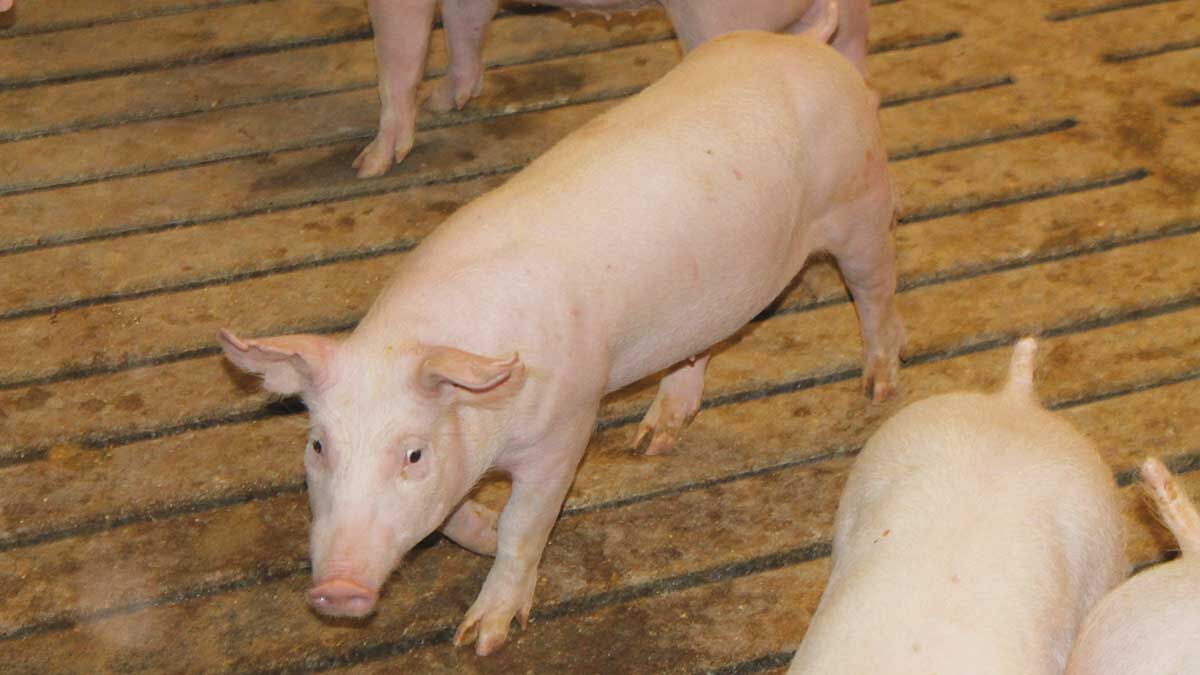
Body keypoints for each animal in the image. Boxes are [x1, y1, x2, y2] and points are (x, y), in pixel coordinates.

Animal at [220, 26, 905, 655]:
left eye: (413, 454)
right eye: (317, 446)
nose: (337, 590)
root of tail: (809, 44)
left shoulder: (566, 427)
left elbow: (526, 526)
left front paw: (481, 639)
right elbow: (451, 516)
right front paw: (481, 534)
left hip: (861, 201)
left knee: (877, 291)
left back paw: (879, 386)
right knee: (703, 344)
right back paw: (652, 440)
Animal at [353, 0, 871, 177]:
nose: (363, 168)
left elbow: (396, 62)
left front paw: (368, 166)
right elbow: (466, 25)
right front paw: (445, 102)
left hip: (718, 20)